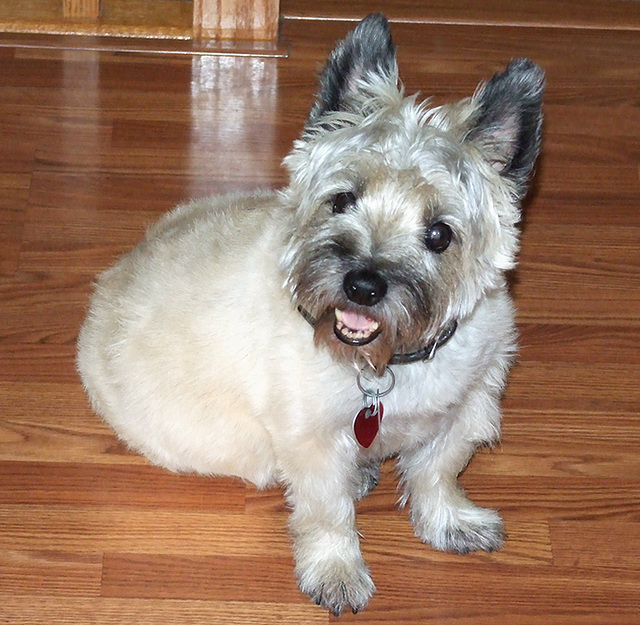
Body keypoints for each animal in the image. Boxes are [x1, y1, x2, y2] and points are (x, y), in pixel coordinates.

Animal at [76, 14, 544, 616]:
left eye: (440, 234)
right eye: (342, 200)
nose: (363, 285)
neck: (387, 364)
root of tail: (111, 278)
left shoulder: (467, 409)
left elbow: (437, 474)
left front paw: (449, 522)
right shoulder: (313, 444)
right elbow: (329, 514)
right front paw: (337, 571)